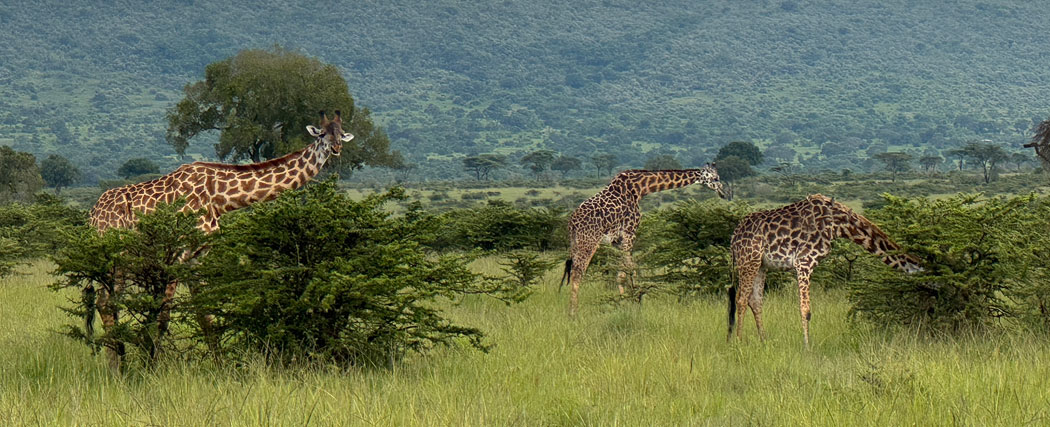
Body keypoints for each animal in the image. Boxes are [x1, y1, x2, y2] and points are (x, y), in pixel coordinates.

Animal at [87, 110, 352, 369]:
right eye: (322, 135)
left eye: (341, 133)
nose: (337, 148)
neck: (218, 197)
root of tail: (92, 214)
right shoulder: (176, 254)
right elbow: (164, 316)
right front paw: (151, 366)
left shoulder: (198, 257)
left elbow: (206, 316)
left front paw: (221, 366)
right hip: (115, 257)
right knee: (105, 302)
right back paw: (116, 366)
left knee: (108, 302)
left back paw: (119, 360)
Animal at [560, 166, 726, 316]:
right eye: (715, 178)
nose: (723, 192)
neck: (640, 189)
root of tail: (572, 223)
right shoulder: (629, 233)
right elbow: (627, 271)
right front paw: (631, 301)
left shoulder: (617, 241)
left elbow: (622, 272)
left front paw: (627, 300)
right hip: (589, 242)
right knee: (577, 274)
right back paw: (573, 313)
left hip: (575, 244)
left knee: (571, 272)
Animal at [728, 194, 922, 347]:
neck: (839, 224)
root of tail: (733, 237)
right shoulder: (804, 261)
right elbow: (806, 310)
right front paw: (807, 348)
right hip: (749, 260)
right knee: (741, 299)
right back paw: (738, 342)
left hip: (761, 265)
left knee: (755, 301)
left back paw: (764, 341)